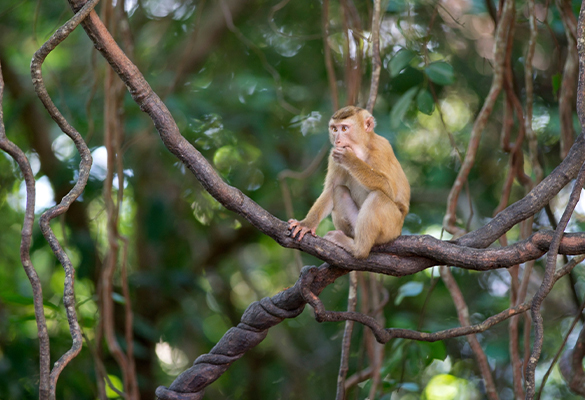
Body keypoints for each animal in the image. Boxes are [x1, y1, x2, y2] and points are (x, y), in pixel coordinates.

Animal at [288, 104, 410, 258]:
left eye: (345, 129)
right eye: (334, 129)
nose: (337, 141)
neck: (362, 150)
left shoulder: (382, 149)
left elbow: (390, 189)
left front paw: (350, 160)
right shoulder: (333, 155)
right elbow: (331, 188)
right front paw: (306, 224)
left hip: (392, 228)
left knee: (378, 197)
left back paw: (357, 249)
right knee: (339, 190)